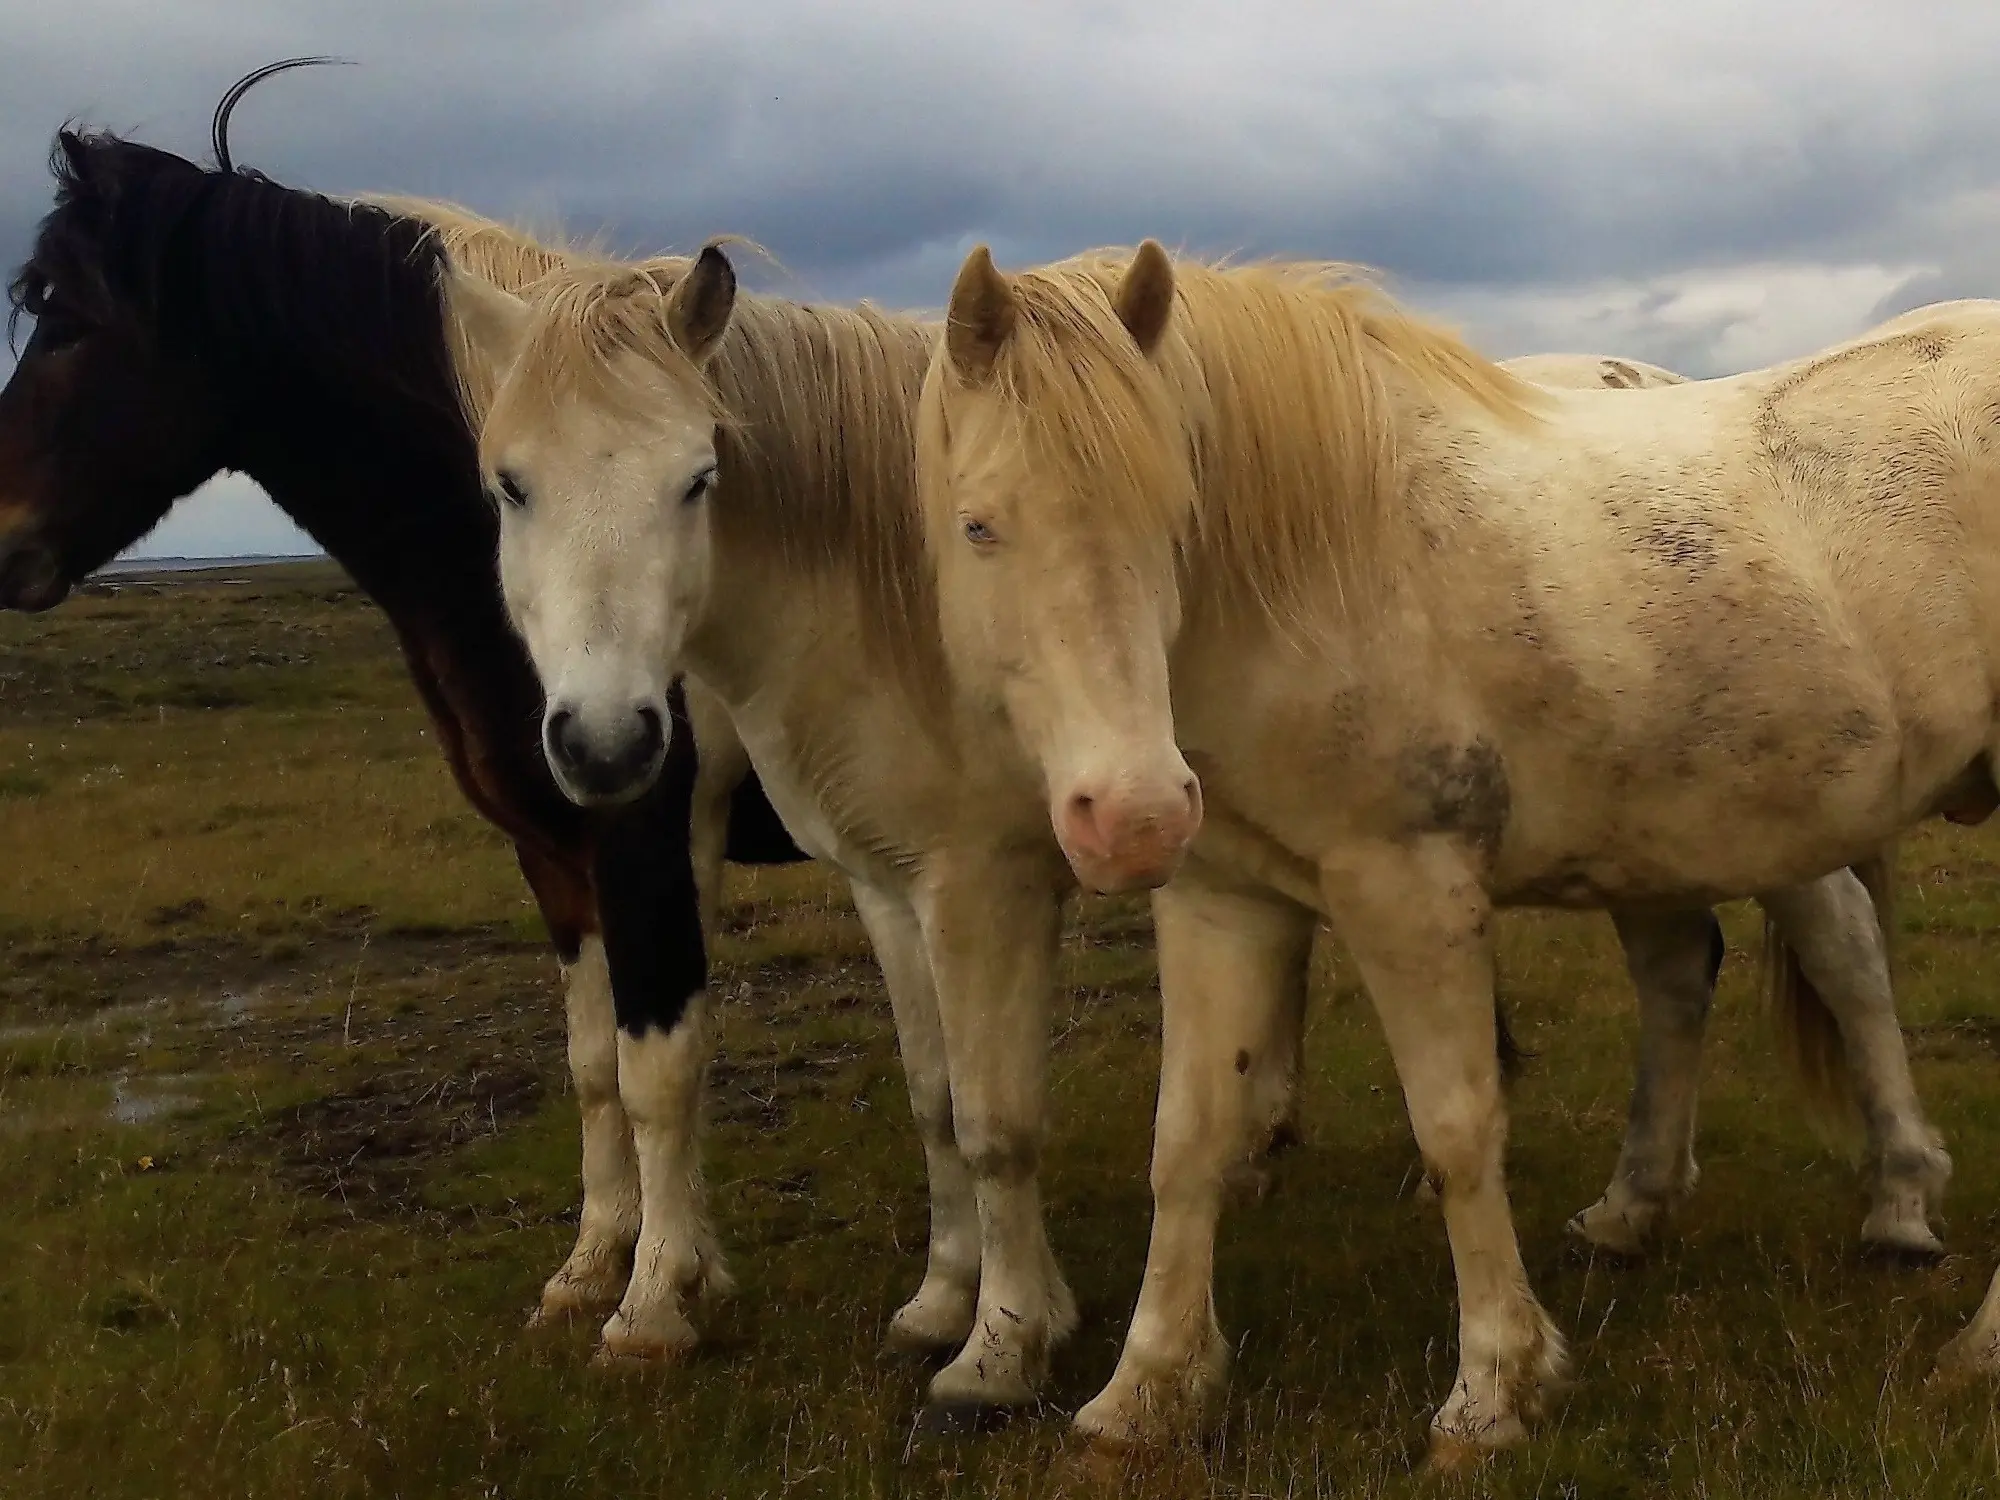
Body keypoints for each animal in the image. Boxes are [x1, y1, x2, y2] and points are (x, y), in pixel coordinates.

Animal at [1, 67, 812, 1352]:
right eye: (509, 486)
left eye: (65, 319)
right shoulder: (557, 849)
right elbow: (596, 1062)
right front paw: (603, 1269)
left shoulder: (644, 828)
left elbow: (659, 1063)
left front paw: (650, 1310)